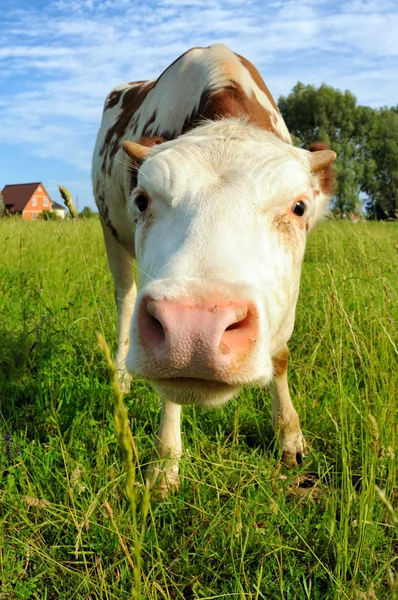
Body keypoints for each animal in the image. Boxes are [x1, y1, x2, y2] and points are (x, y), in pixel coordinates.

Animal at [93, 41, 336, 492]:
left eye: (299, 207)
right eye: (142, 199)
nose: (194, 330)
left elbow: (280, 357)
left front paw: (289, 436)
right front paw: (165, 463)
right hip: (109, 234)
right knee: (125, 296)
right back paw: (121, 376)